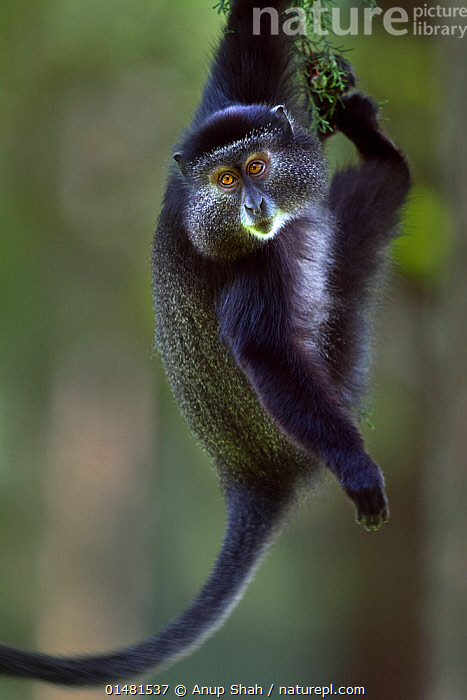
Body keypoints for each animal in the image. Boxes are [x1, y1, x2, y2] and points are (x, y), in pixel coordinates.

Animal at [0, 0, 411, 687]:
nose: (254, 204)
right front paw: (356, 467)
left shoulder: (233, 105)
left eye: (255, 166)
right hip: (333, 376)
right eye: (223, 180)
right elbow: (268, 353)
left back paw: (365, 134)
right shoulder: (251, 274)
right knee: (379, 197)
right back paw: (380, 154)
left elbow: (251, 39)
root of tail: (248, 473)